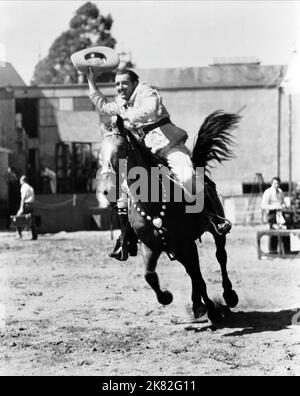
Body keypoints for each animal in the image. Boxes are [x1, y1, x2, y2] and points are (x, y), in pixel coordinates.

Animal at [99, 110, 240, 324]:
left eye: (121, 149)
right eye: (100, 152)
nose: (108, 191)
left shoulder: (185, 243)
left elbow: (198, 276)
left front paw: (212, 309)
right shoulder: (151, 246)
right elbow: (150, 276)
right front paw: (167, 297)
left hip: (213, 233)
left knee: (220, 257)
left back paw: (228, 296)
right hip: (177, 248)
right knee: (191, 270)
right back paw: (198, 304)